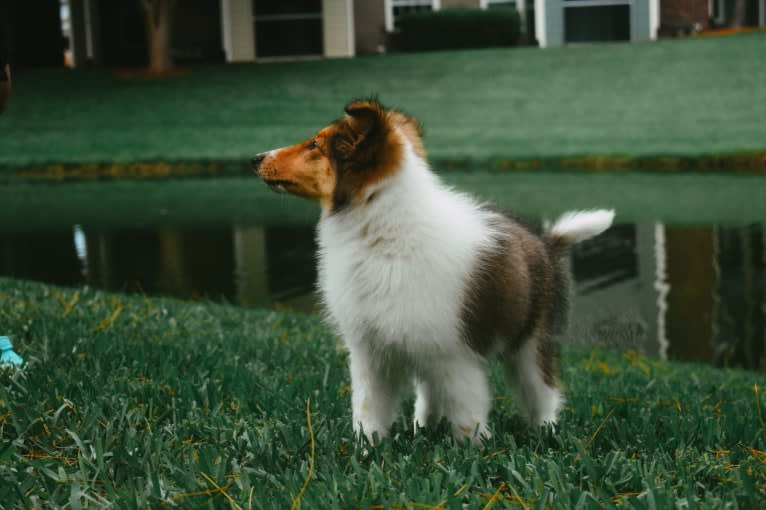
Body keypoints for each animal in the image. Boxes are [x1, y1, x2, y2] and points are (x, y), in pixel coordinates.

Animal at [255, 98, 616, 442]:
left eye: (314, 144)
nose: (256, 157)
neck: (385, 233)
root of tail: (547, 242)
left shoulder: (455, 355)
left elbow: (468, 417)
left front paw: (474, 452)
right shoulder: (371, 351)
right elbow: (368, 409)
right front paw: (367, 448)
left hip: (530, 342)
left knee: (543, 393)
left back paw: (545, 432)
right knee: (429, 396)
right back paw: (423, 428)